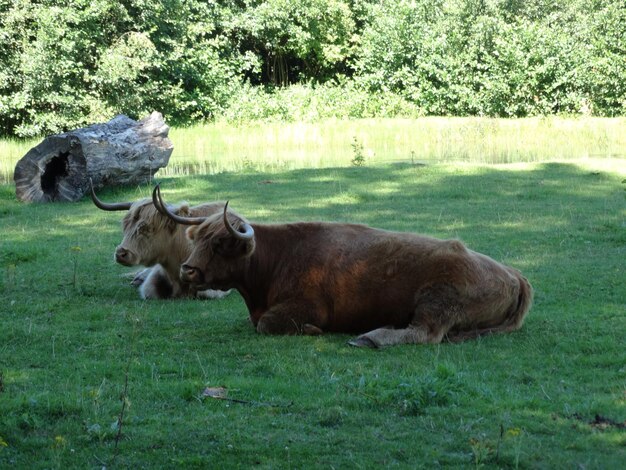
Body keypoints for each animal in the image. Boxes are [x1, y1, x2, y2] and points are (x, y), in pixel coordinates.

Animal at [154, 185, 528, 346]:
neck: (277, 256)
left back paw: (371, 338)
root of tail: (514, 274)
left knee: (425, 333)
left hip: (437, 301)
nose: (189, 270)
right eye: (198, 239)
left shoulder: (305, 308)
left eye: (221, 244)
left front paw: (312, 331)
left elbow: (268, 325)